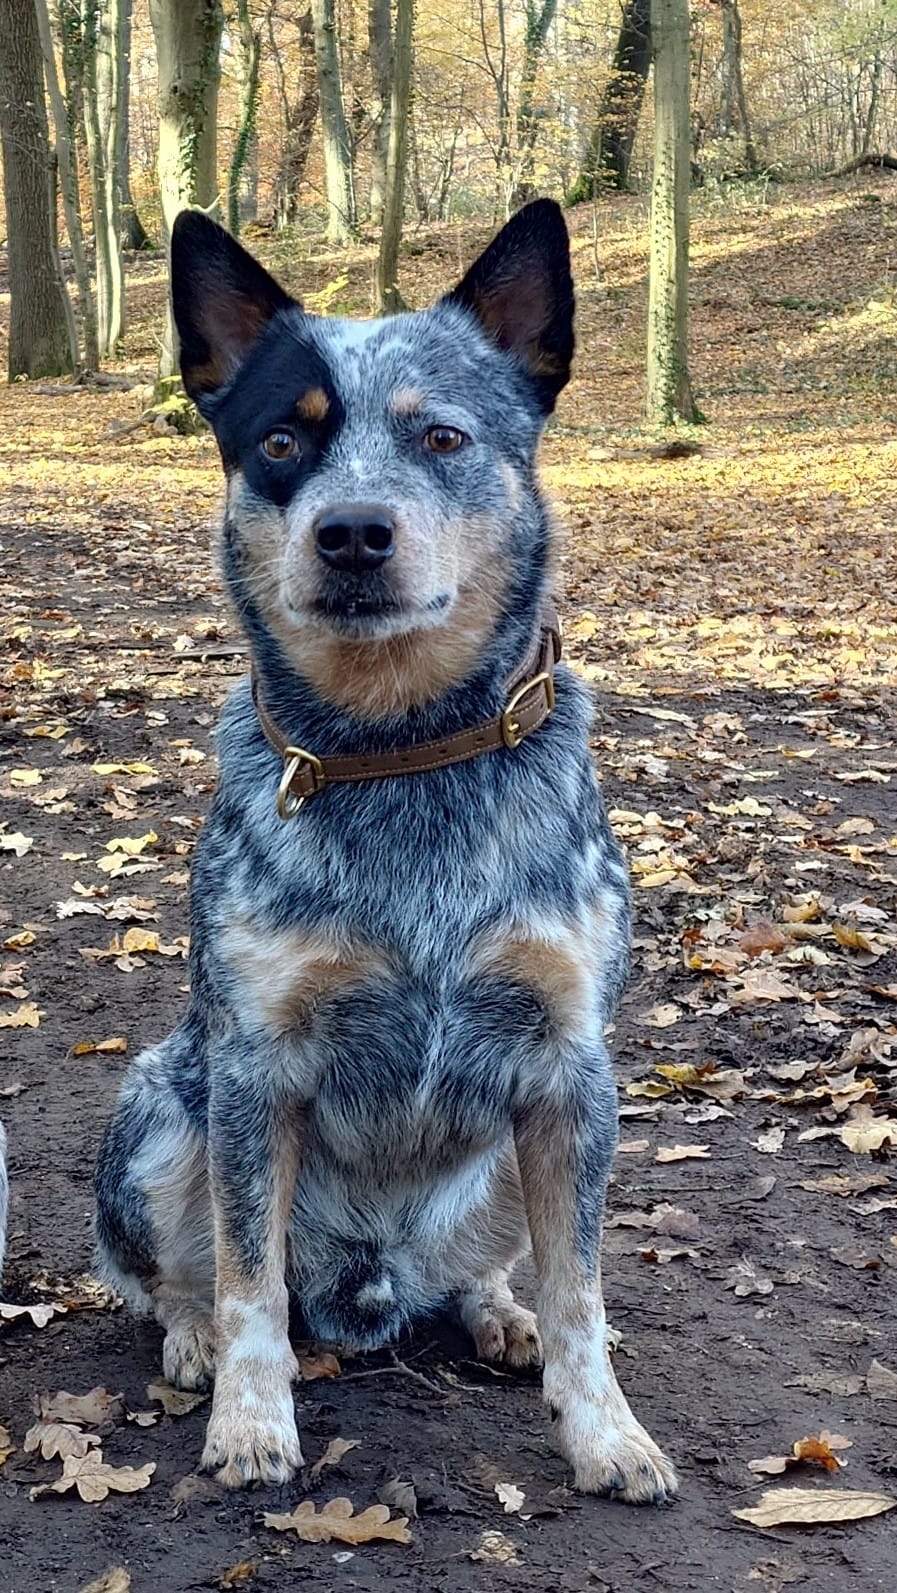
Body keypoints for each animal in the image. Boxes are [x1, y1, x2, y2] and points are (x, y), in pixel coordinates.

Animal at [94, 200, 677, 1504]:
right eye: (279, 442)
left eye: (443, 435)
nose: (353, 530)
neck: (402, 753)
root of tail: (369, 1278)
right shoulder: (253, 1069)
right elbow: (248, 1282)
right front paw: (253, 1422)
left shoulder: (571, 1069)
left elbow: (583, 1292)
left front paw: (607, 1431)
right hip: (159, 1111)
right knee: (176, 1274)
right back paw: (191, 1339)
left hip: (513, 1154)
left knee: (494, 1271)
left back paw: (495, 1311)